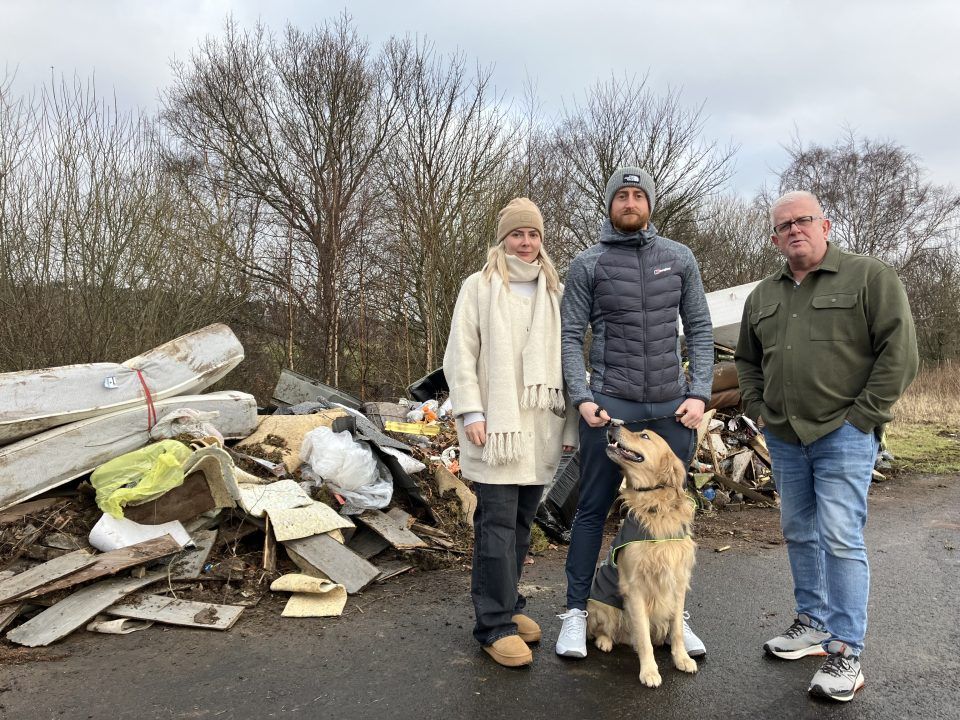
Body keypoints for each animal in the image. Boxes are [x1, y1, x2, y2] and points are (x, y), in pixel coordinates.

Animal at [584, 424, 696, 688]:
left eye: (645, 436)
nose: (612, 422)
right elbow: (643, 637)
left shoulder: (678, 581)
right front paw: (649, 671)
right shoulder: (635, 587)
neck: (656, 506)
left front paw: (682, 658)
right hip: (602, 607)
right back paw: (605, 641)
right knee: (602, 630)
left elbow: (677, 628)